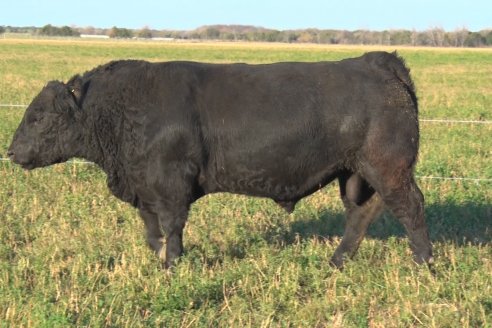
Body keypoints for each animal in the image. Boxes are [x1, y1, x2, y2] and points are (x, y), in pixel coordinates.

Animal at [6, 50, 430, 266]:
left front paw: (173, 264)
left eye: (39, 116)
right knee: (361, 212)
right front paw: (160, 257)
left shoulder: (171, 185)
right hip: (355, 173)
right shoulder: (144, 188)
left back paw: (423, 260)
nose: (10, 152)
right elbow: (151, 231)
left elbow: (172, 226)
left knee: (411, 206)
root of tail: (375, 61)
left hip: (388, 167)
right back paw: (338, 260)